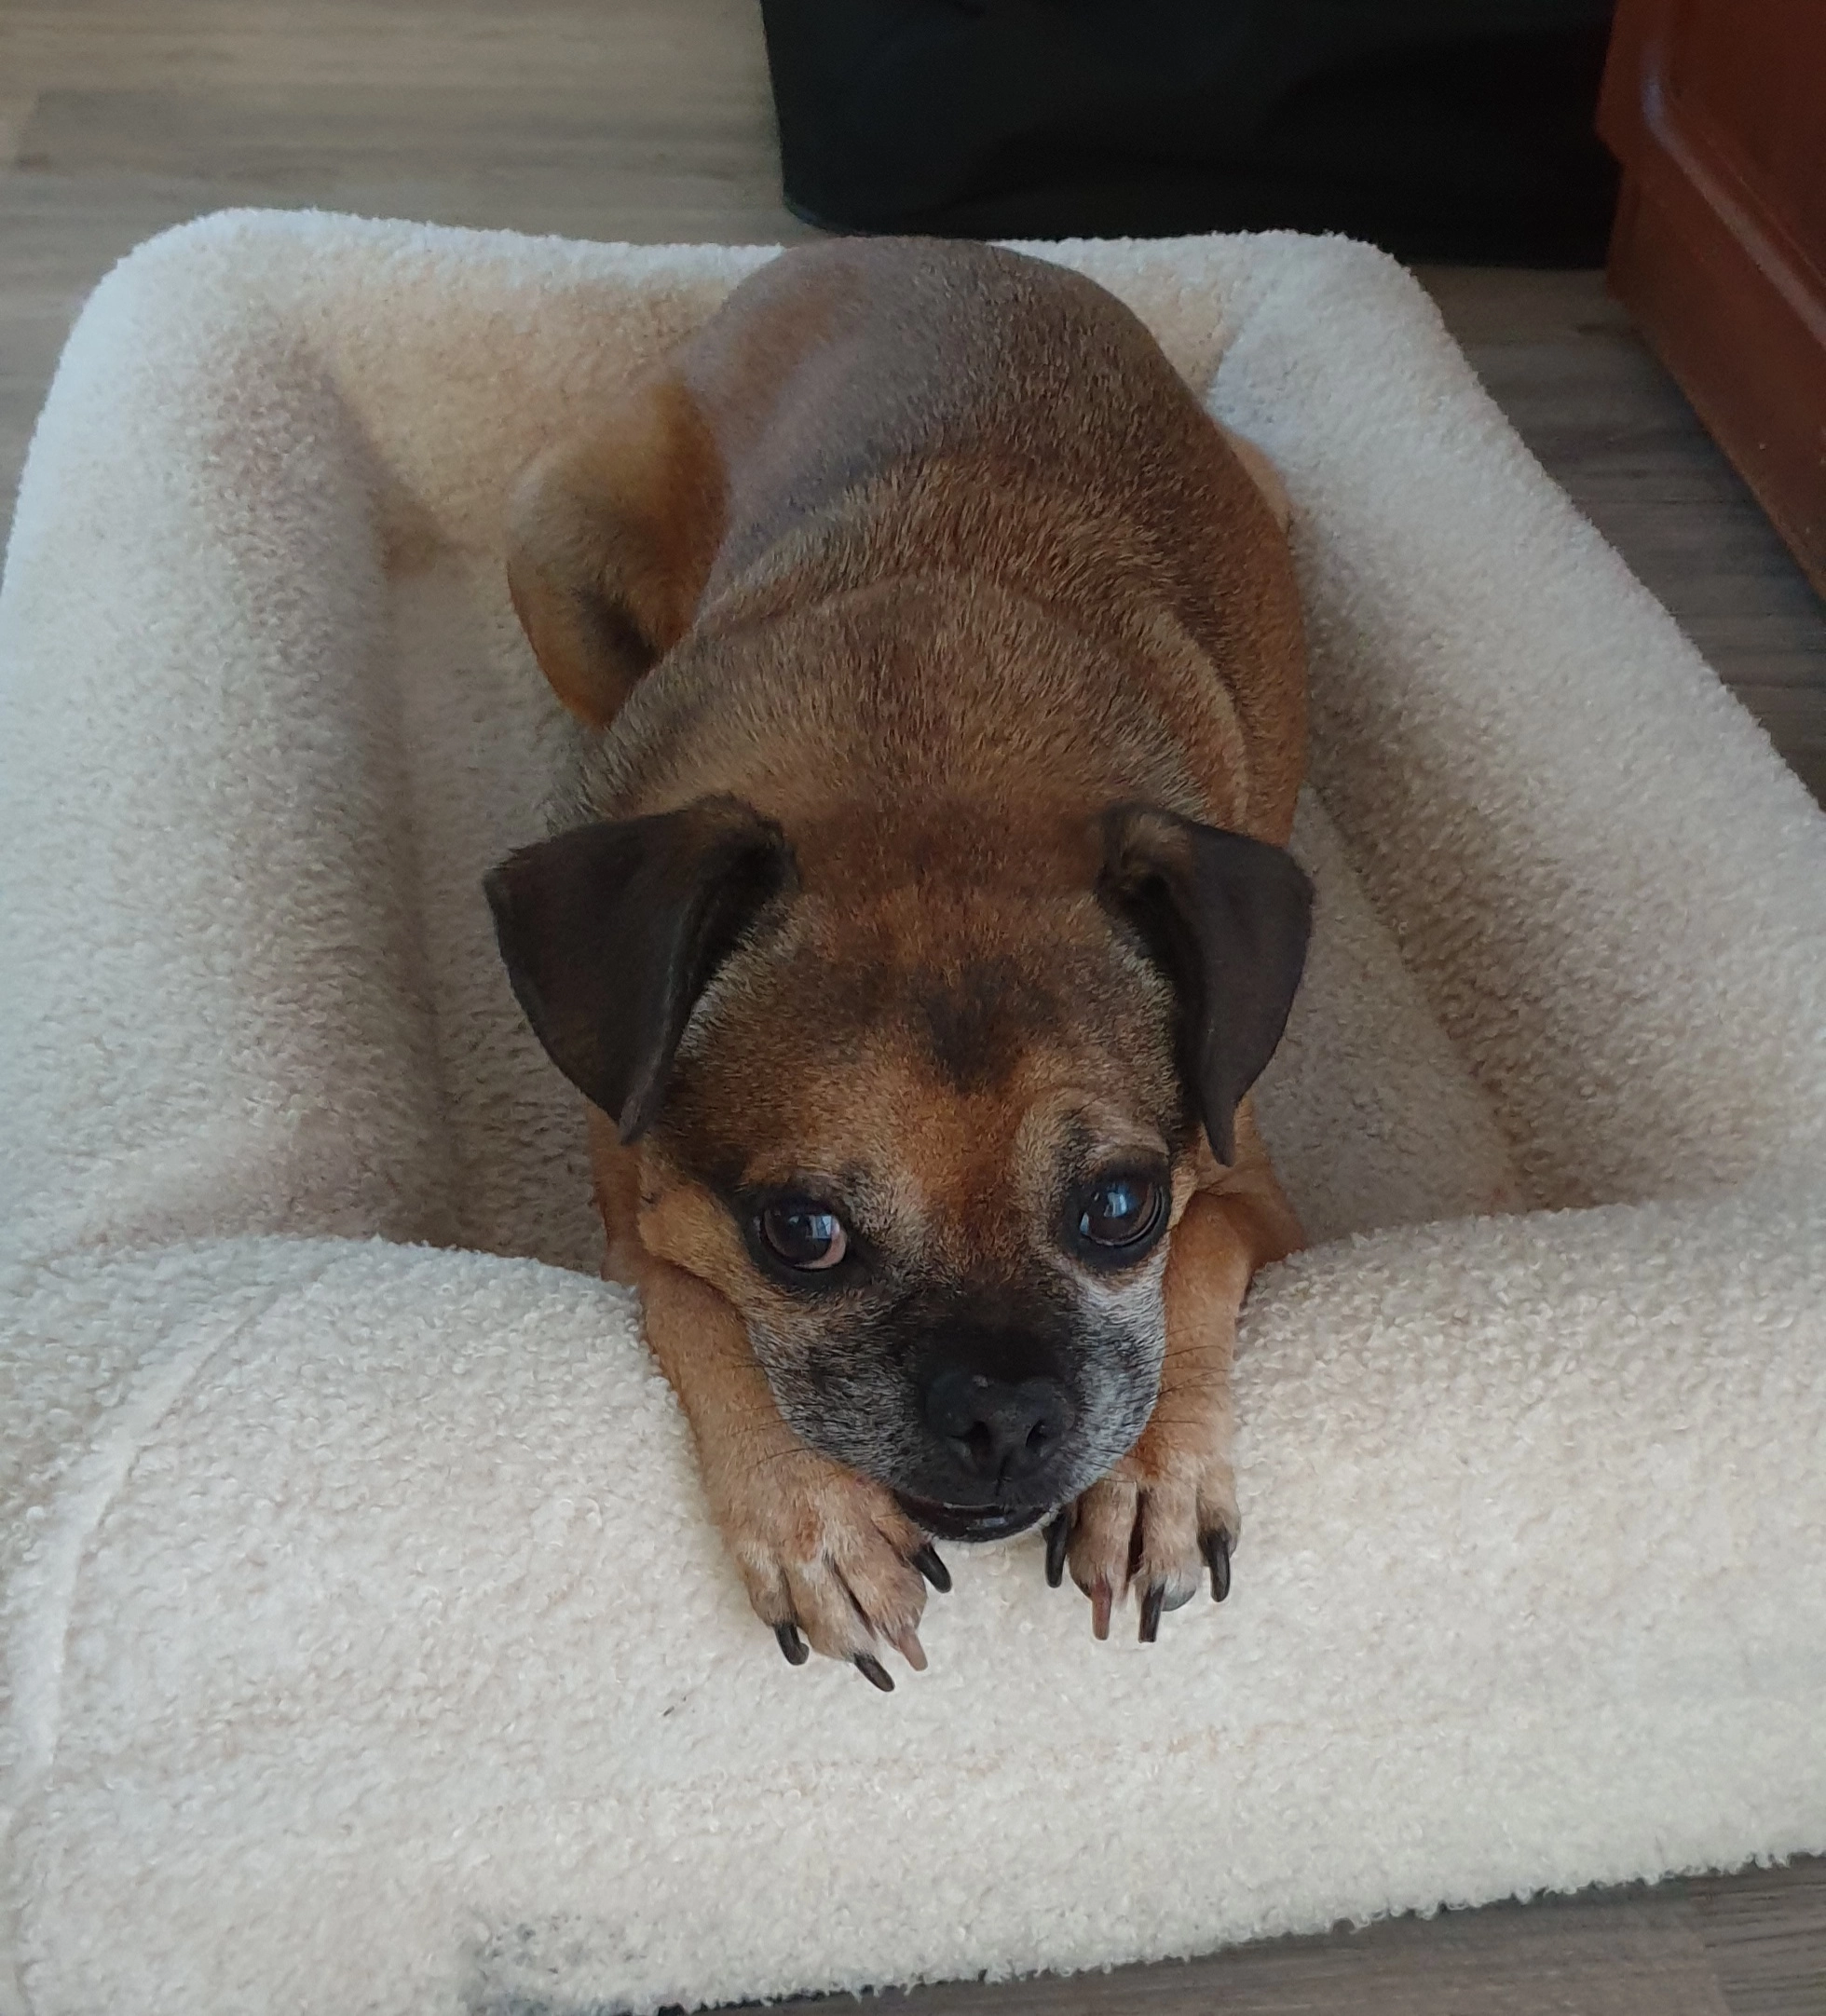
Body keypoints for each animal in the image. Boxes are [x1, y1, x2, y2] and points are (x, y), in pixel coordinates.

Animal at [486, 238, 1310, 1689]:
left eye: (1120, 1208)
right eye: (800, 1232)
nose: (1005, 1416)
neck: (919, 757)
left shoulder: (1252, 1188)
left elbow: (1202, 1260)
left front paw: (1151, 1475)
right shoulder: (631, 1224)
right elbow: (696, 1308)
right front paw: (810, 1520)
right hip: (557, 539)